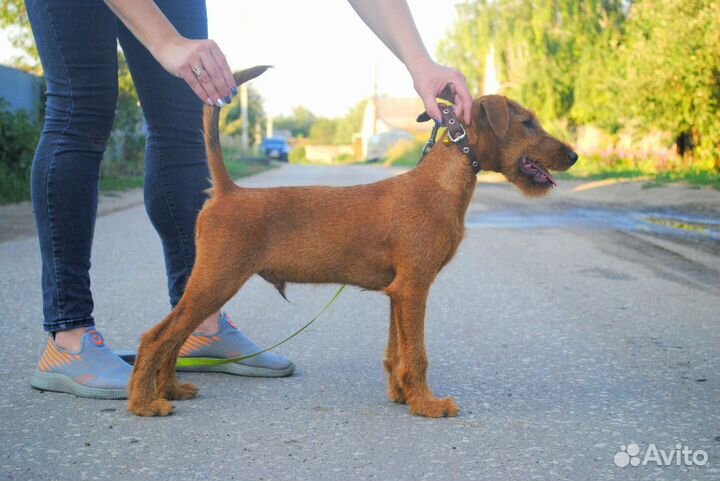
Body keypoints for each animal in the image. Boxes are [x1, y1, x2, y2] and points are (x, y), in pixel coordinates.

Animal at [128, 64, 580, 416]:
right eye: (527, 123)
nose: (574, 155)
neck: (441, 183)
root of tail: (228, 191)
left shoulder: (398, 292)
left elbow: (397, 352)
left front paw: (402, 396)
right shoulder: (414, 288)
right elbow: (417, 354)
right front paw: (428, 405)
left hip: (212, 284)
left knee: (174, 337)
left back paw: (170, 390)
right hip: (217, 280)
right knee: (157, 336)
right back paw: (143, 403)